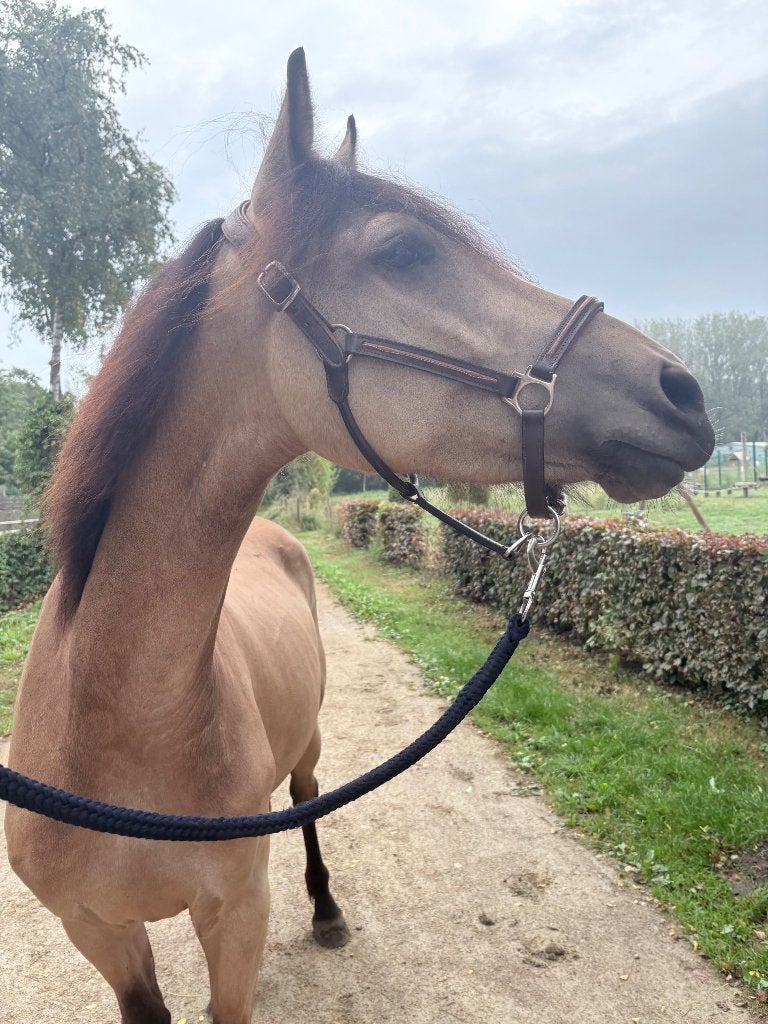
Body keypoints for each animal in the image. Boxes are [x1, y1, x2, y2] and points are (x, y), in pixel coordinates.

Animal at [4, 48, 714, 1024]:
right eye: (402, 251)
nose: (683, 392)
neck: (118, 729)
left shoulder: (237, 920)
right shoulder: (99, 935)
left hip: (306, 749)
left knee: (308, 802)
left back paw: (328, 911)